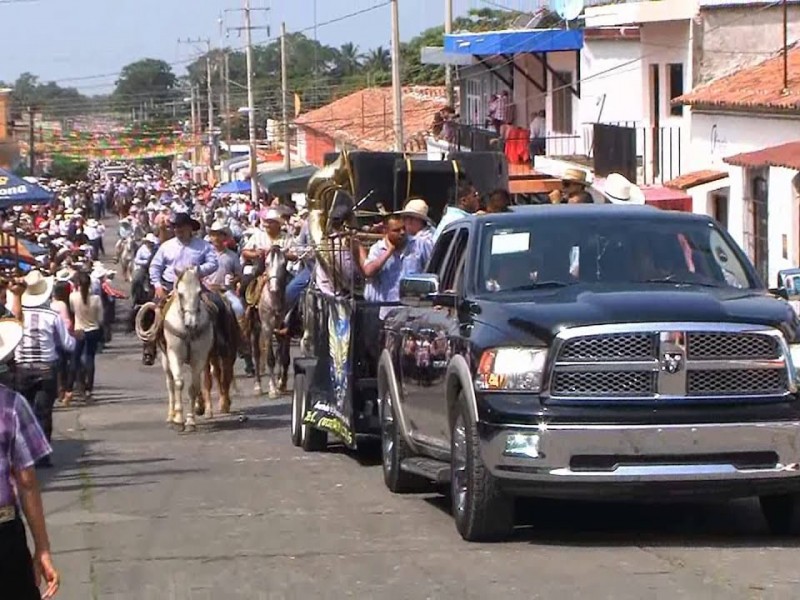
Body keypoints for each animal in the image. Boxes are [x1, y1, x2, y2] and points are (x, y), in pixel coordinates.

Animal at [161, 268, 216, 432]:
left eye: (199, 292)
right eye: (180, 294)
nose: (191, 323)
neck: (187, 331)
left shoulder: (199, 358)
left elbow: (194, 387)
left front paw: (190, 421)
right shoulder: (174, 354)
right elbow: (179, 383)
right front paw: (178, 419)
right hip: (165, 359)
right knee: (170, 384)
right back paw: (170, 416)